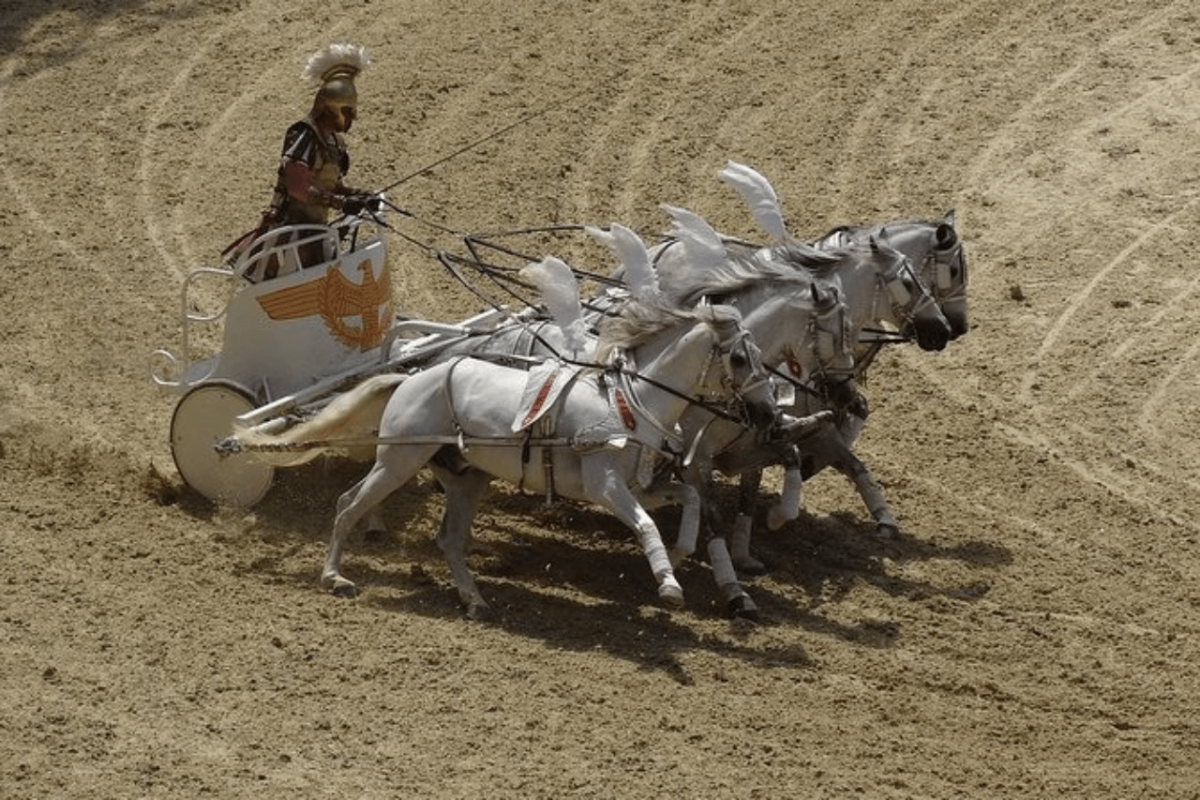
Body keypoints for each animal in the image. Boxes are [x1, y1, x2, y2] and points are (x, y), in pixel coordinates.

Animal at [233, 297, 779, 619]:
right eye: (738, 357)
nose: (768, 413)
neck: (629, 402)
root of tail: (410, 377)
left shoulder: (643, 484)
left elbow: (689, 497)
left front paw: (682, 552)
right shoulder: (606, 487)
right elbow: (646, 524)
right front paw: (668, 584)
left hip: (465, 479)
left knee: (449, 539)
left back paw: (474, 599)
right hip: (398, 462)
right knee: (348, 504)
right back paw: (335, 577)